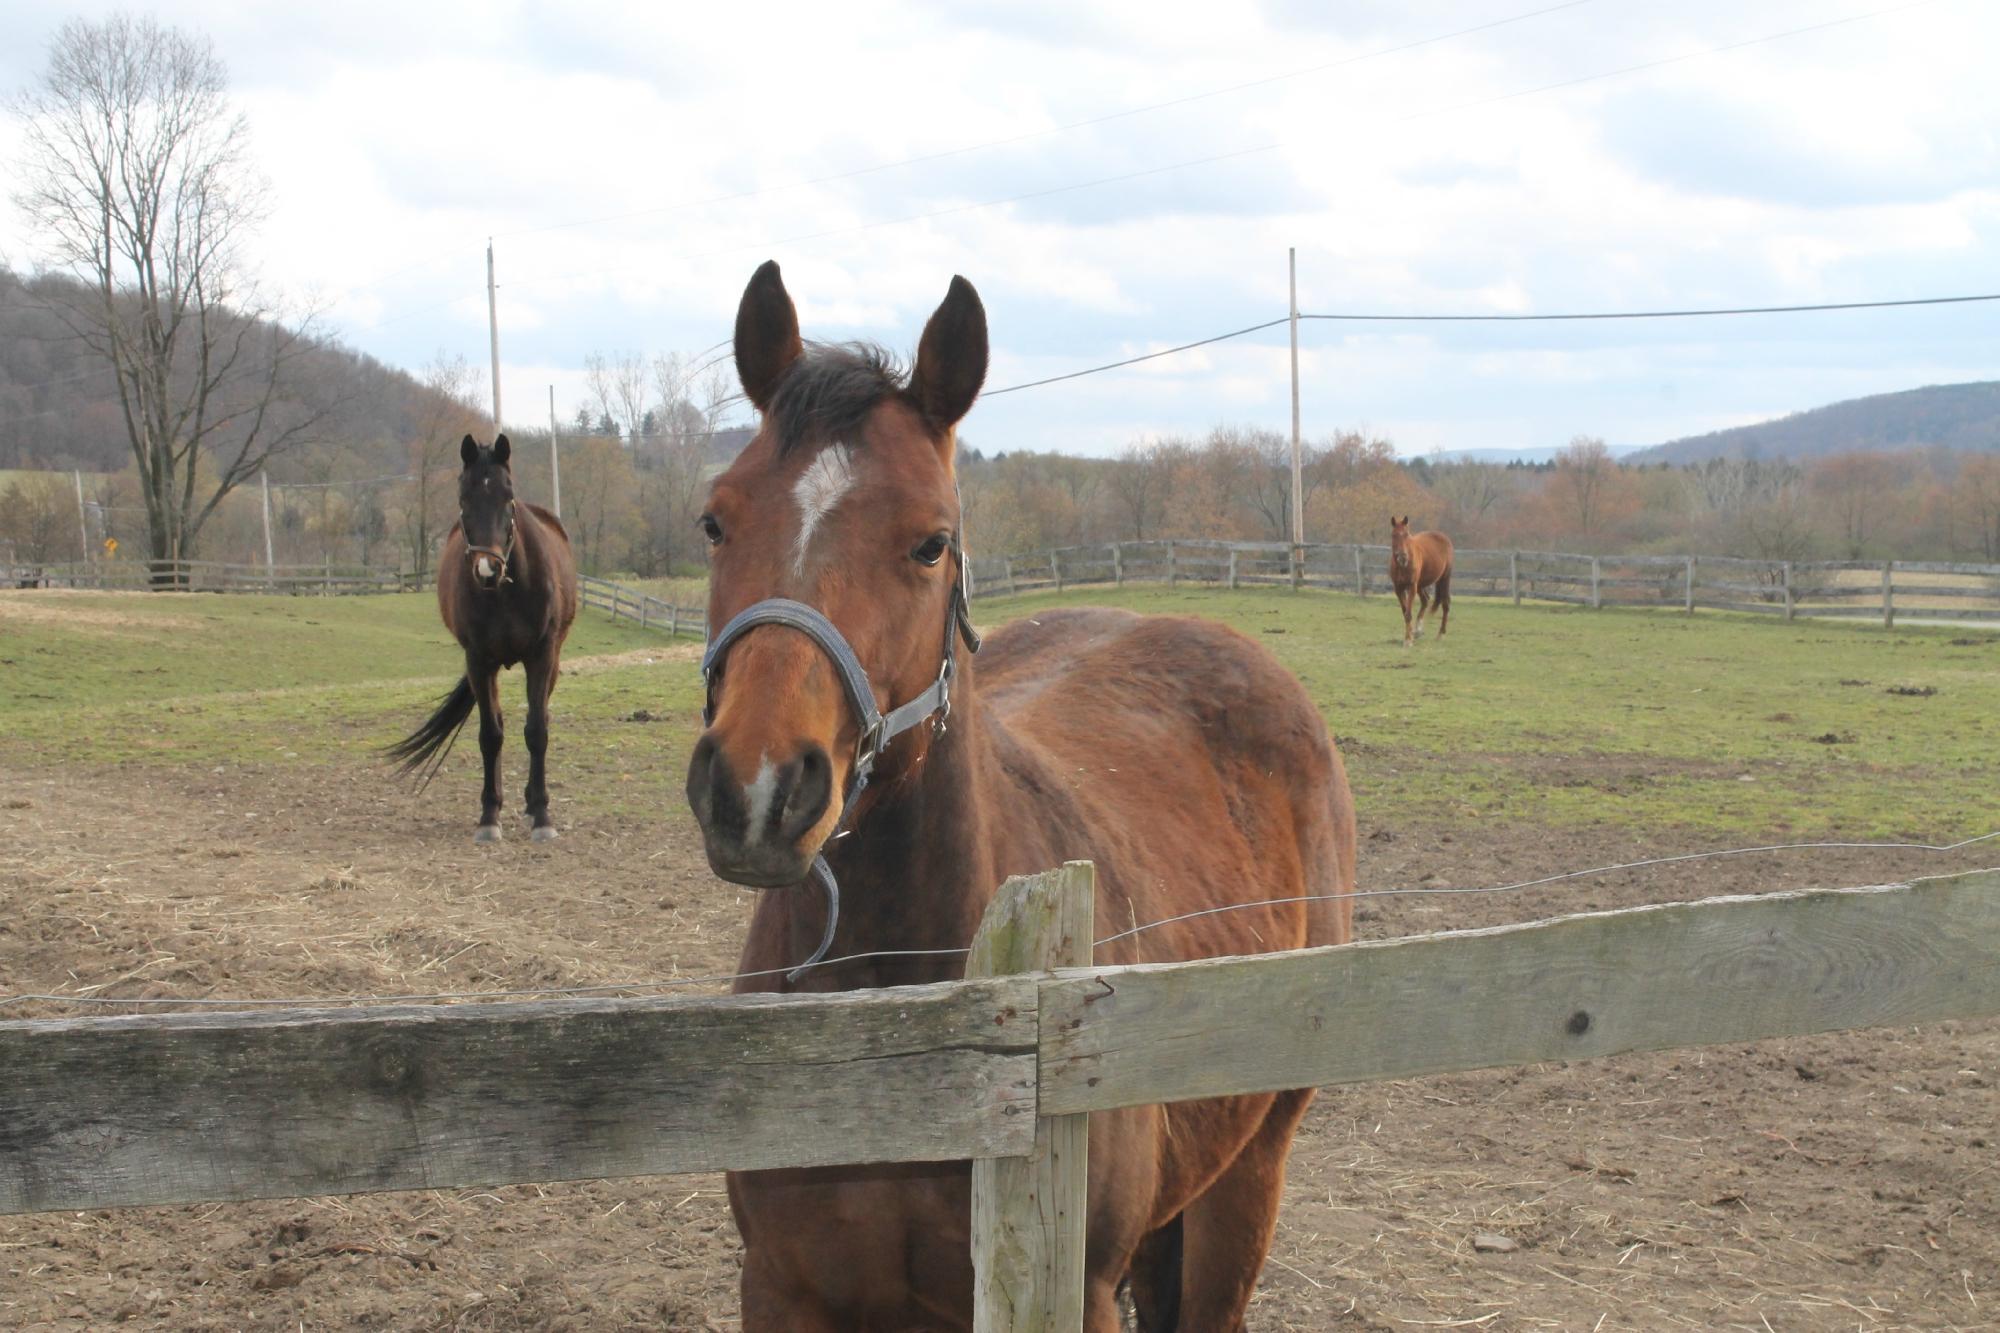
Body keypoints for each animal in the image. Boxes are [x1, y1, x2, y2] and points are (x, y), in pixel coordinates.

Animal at [387, 433, 578, 842]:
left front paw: (542, 815)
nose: (487, 568)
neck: (504, 592)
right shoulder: (477, 661)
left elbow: (536, 731)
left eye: (508, 496)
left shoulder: (541, 657)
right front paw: (489, 816)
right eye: (463, 498)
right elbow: (491, 734)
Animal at [686, 260, 1356, 1331]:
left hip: (1249, 1175)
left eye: (931, 542)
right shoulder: (783, 1288)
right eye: (717, 519)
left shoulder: (1070, 1289)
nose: (758, 787)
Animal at [1389, 516, 1453, 647]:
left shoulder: (1412, 587)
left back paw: (1440, 634)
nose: (1403, 557)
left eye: (1407, 534)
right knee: (1425, 600)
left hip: (1444, 579)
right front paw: (1410, 636)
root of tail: (1444, 538)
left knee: (1445, 604)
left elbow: (1408, 614)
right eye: (1393, 535)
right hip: (1421, 585)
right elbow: (1405, 612)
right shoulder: (1398, 589)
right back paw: (1418, 631)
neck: (1402, 567)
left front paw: (1408, 640)